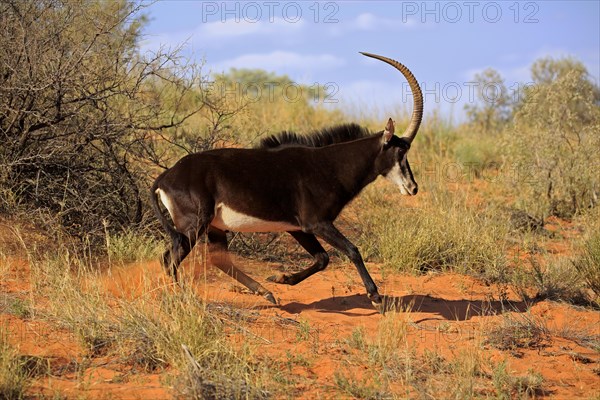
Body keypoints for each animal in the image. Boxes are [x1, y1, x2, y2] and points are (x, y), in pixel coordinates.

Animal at [150, 52, 422, 306]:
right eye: (400, 152)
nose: (413, 188)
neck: (331, 165)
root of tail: (165, 176)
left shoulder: (297, 227)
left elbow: (322, 258)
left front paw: (281, 278)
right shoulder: (316, 223)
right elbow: (352, 250)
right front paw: (375, 296)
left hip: (215, 227)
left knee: (217, 259)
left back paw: (266, 293)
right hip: (194, 226)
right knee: (170, 258)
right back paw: (183, 297)